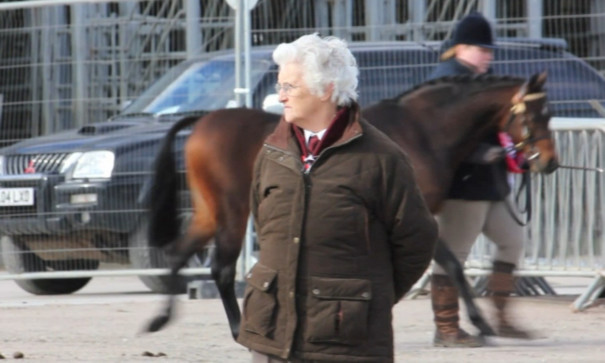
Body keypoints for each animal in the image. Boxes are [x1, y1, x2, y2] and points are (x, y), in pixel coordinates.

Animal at [143, 73, 556, 342]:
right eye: (538, 115)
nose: (549, 162)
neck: (423, 131)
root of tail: (205, 120)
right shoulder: (413, 214)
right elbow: (450, 265)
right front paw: (479, 324)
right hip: (232, 211)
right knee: (223, 268)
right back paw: (235, 328)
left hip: (209, 211)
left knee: (179, 254)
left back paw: (159, 319)